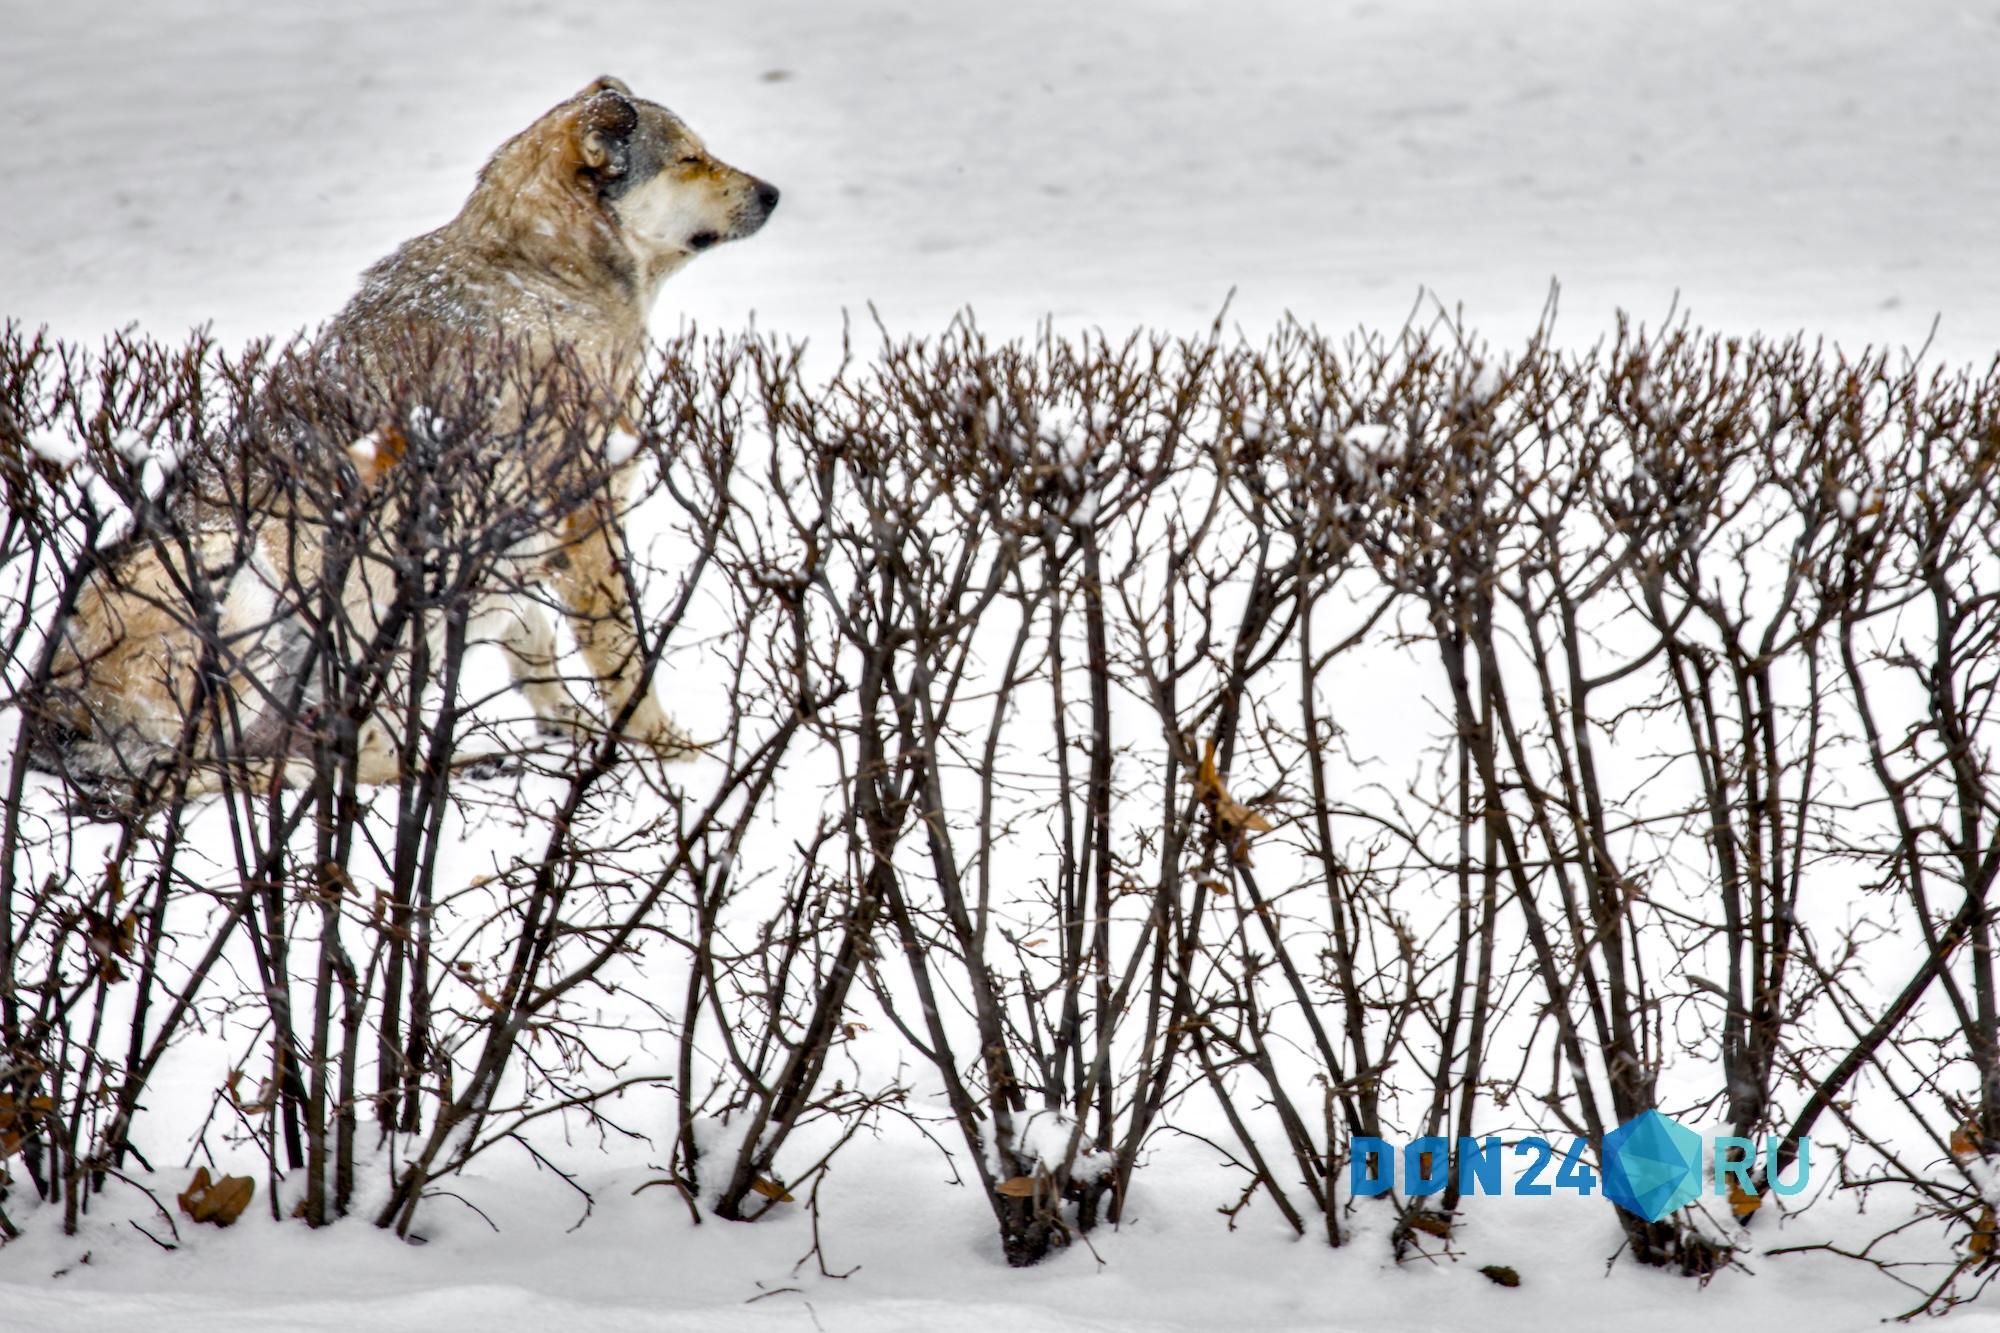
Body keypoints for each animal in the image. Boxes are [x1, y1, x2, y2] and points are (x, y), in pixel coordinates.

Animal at [30, 76, 778, 795]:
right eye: (690, 159)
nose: (773, 192)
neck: (541, 274)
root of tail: (45, 728)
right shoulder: (583, 520)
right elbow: (626, 661)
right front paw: (675, 755)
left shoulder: (505, 544)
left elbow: (535, 653)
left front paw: (570, 729)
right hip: (244, 582)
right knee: (210, 774)